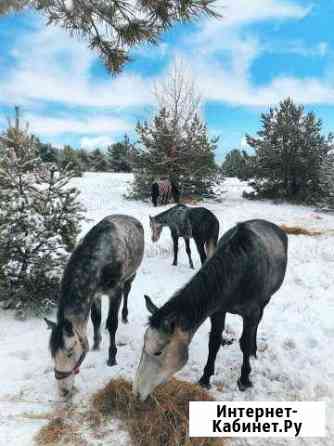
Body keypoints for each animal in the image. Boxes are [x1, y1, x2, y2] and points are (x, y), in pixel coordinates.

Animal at [44, 215, 144, 398]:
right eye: (52, 353)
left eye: (70, 351)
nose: (63, 391)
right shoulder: (95, 294)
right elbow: (96, 319)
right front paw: (97, 345)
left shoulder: (115, 292)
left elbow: (112, 324)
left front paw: (112, 358)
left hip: (131, 275)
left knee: (127, 291)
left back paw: (125, 316)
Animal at [133, 220, 288, 400]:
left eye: (158, 352)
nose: (136, 392)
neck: (238, 272)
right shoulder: (218, 312)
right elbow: (214, 342)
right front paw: (205, 378)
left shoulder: (251, 314)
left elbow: (244, 342)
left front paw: (244, 379)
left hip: (265, 302)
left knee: (255, 327)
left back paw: (253, 352)